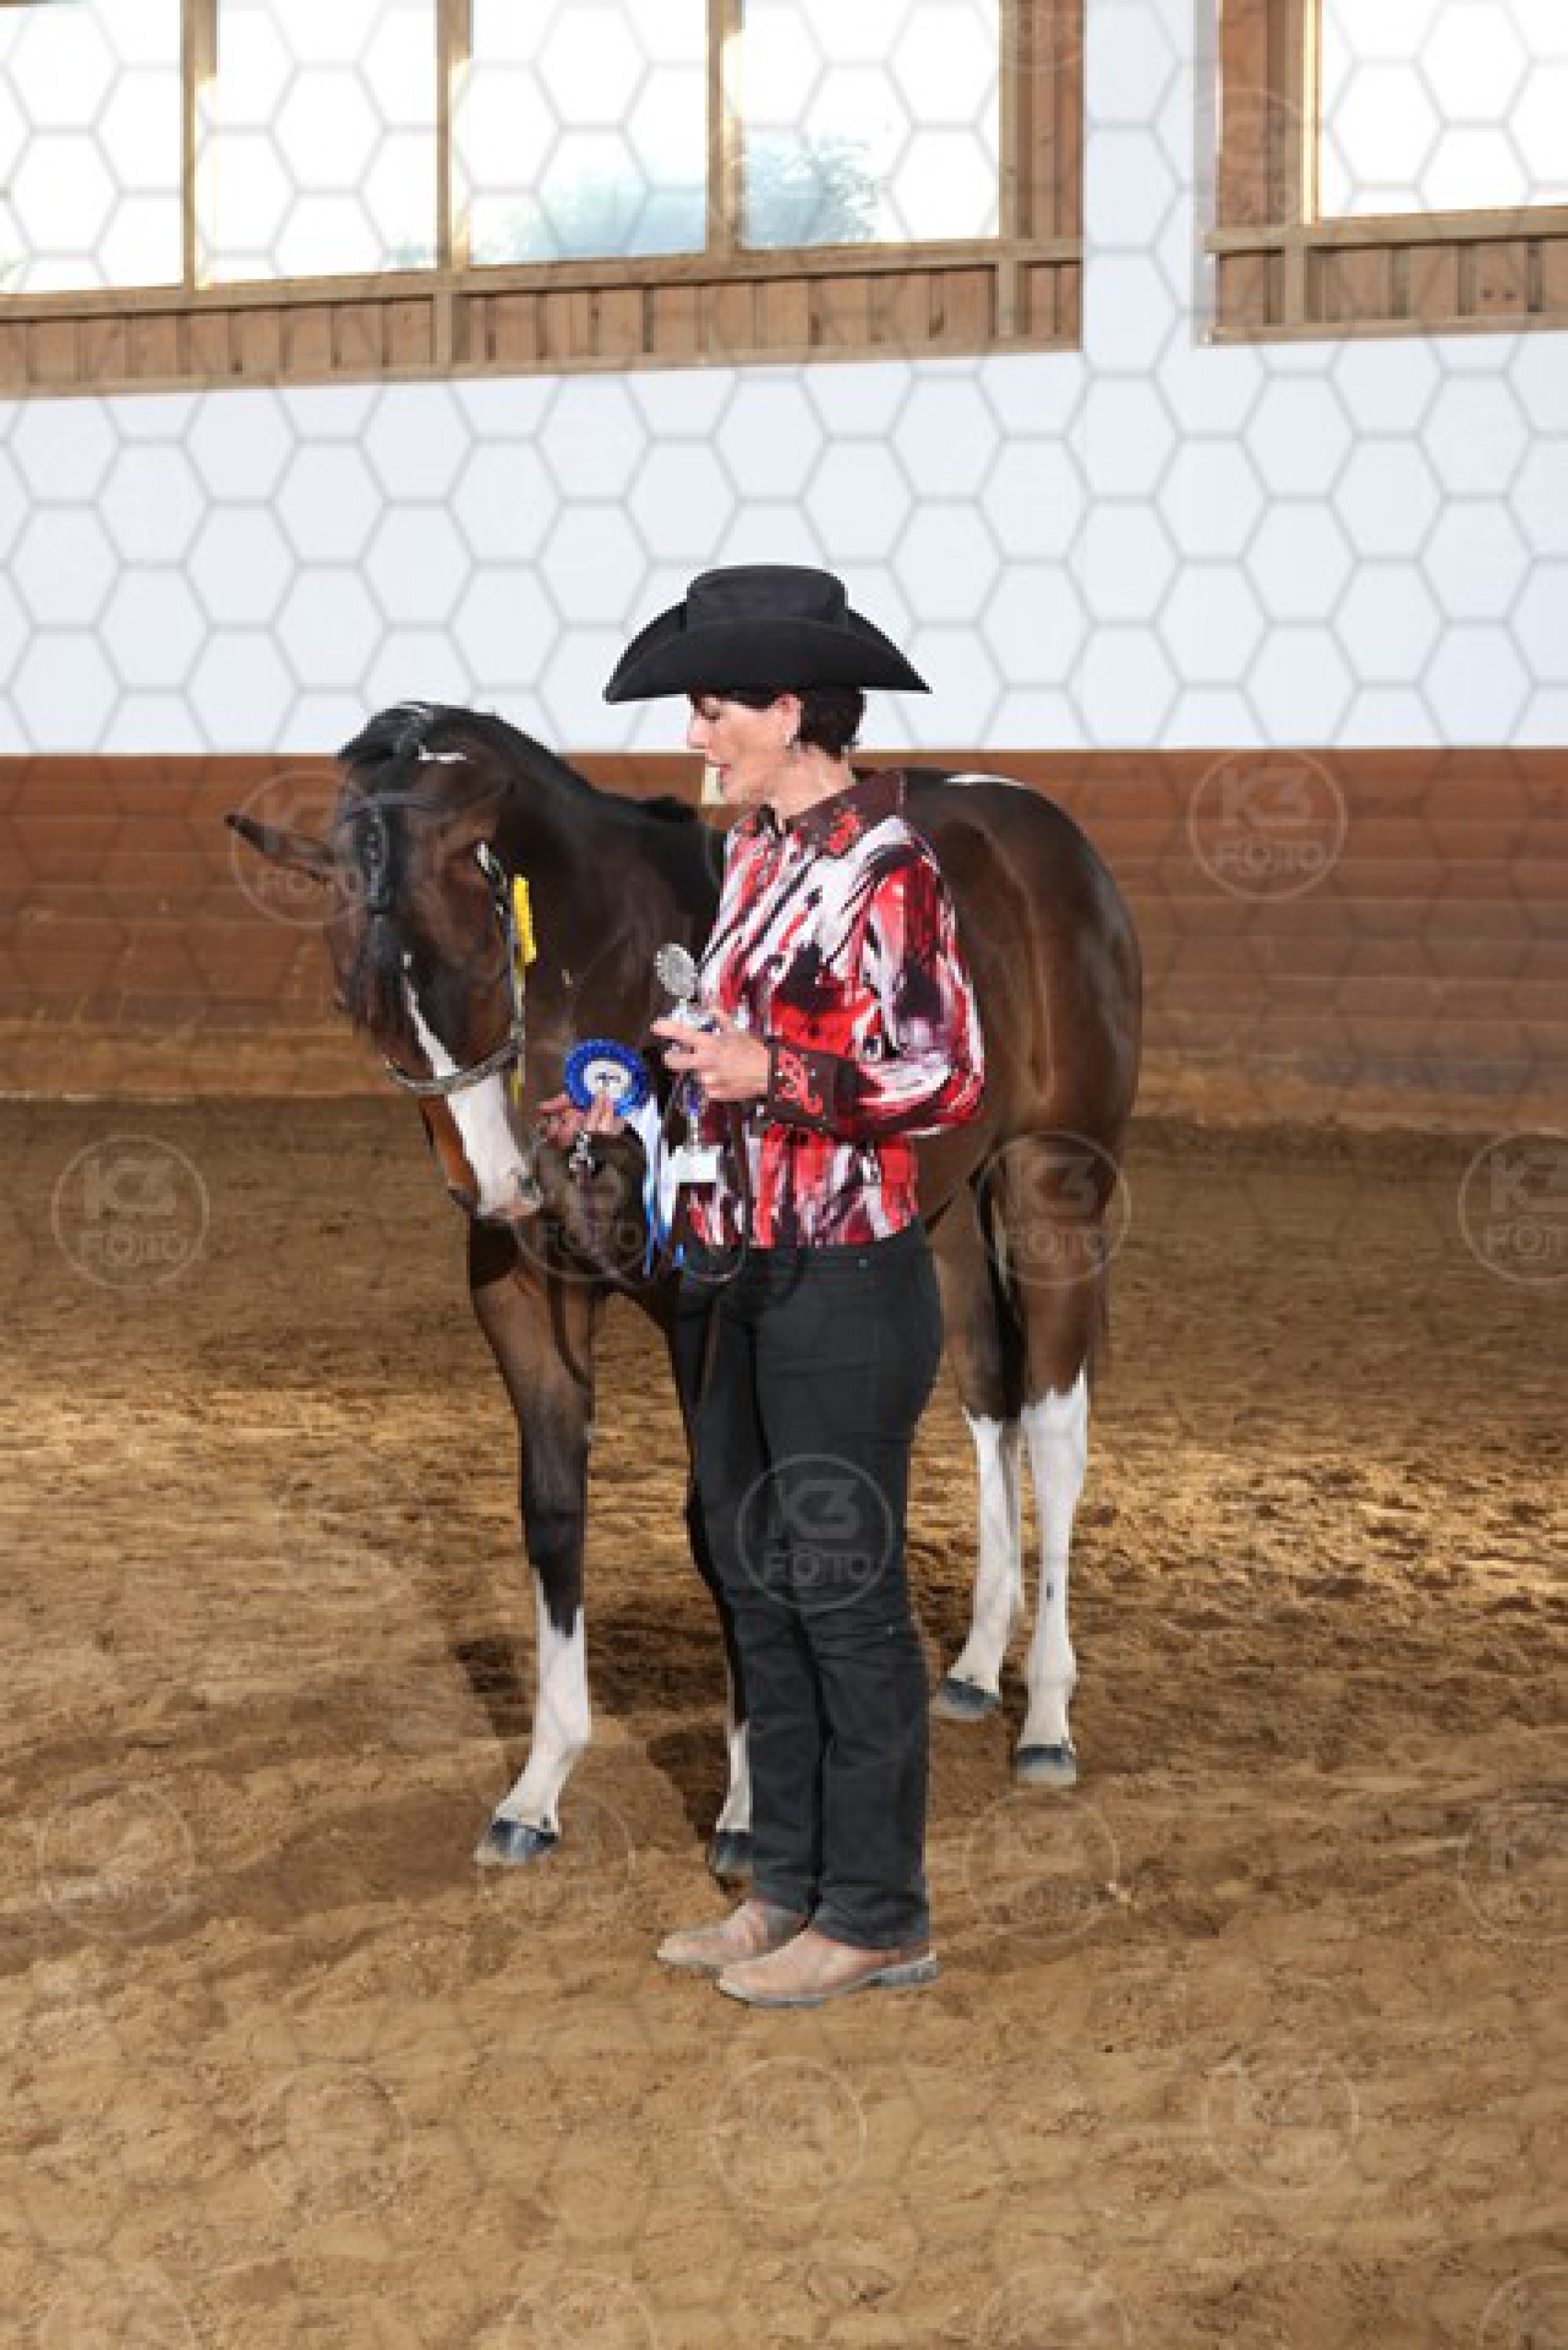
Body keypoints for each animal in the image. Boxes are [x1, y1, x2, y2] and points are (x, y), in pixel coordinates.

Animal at [227, 701, 1141, 1878]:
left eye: (478, 959)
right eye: (359, 1000)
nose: (499, 1187)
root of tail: (1045, 833)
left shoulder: (706, 1311)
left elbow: (721, 1520)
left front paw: (748, 1810)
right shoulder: (523, 1297)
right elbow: (552, 1512)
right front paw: (538, 1787)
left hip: (1052, 1184)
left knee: (1057, 1423)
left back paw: (1047, 1719)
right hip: (930, 1212)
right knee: (991, 1403)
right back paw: (977, 1670)